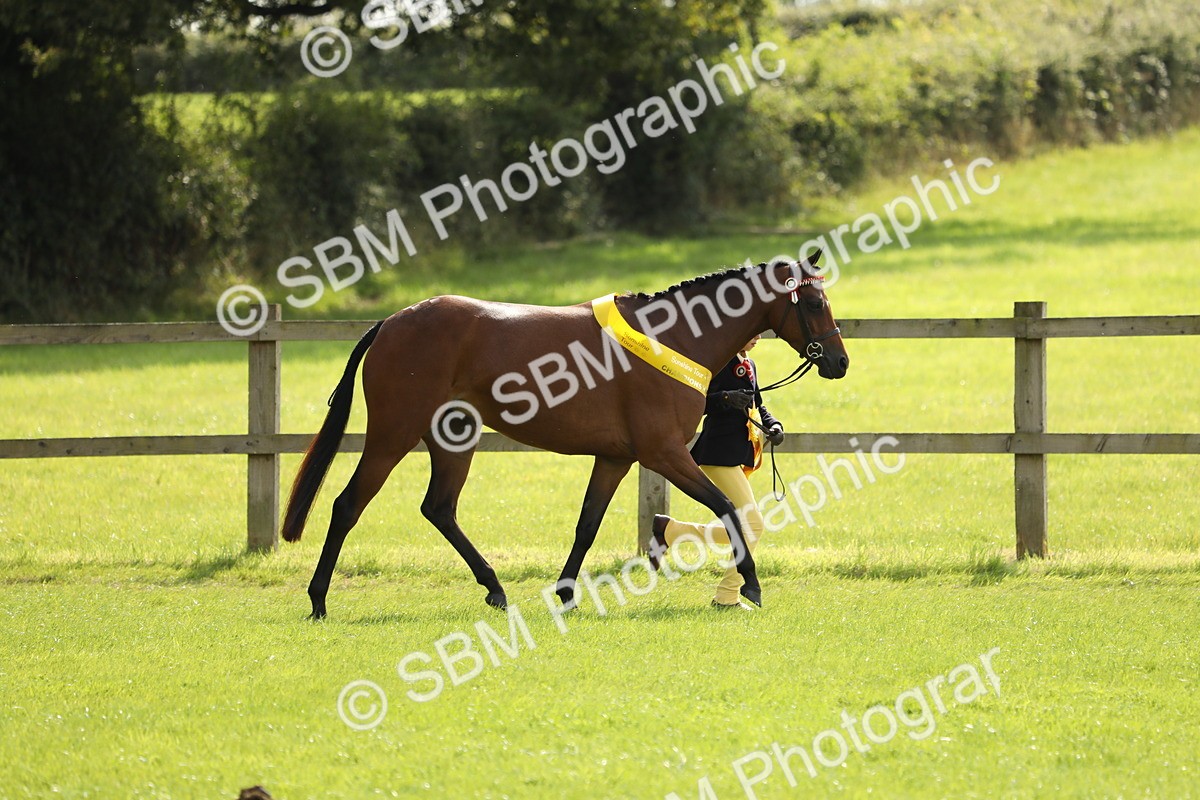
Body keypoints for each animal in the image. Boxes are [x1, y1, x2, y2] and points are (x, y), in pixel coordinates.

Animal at [281, 252, 848, 619]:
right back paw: (318, 599)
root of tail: (392, 322)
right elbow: (727, 509)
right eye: (812, 304)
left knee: (439, 508)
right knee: (348, 504)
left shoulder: (615, 458)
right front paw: (750, 584)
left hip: (454, 438)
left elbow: (587, 525)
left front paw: (568, 592)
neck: (672, 335)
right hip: (393, 434)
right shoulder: (664, 454)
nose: (840, 362)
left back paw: (495, 589)